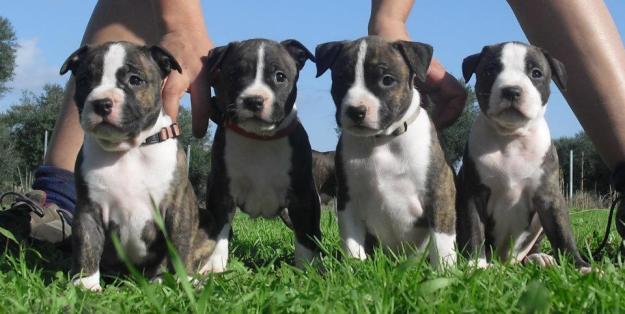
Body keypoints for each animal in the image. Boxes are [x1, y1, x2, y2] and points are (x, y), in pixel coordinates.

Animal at [61, 41, 214, 290]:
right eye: (84, 81)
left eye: (135, 80)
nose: (102, 103)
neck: (129, 150)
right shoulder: (88, 210)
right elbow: (87, 246)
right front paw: (86, 286)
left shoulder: (176, 208)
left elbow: (179, 248)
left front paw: (181, 283)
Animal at [205, 38, 320, 272]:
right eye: (235, 74)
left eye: (280, 76)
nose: (254, 100)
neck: (260, 137)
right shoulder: (221, 193)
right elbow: (218, 232)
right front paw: (213, 267)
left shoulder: (302, 198)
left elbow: (305, 236)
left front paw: (307, 270)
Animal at [314, 36, 456, 268]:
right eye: (342, 78)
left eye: (387, 80)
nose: (356, 110)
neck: (381, 141)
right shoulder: (348, 200)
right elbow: (352, 241)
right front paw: (355, 268)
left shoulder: (439, 194)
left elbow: (441, 241)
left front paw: (444, 271)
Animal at [456, 40, 588, 268]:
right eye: (490, 70)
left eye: (536, 73)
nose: (511, 90)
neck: (511, 139)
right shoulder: (472, 194)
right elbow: (473, 231)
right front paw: (476, 265)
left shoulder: (549, 197)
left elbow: (563, 233)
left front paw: (580, 267)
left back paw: (540, 258)